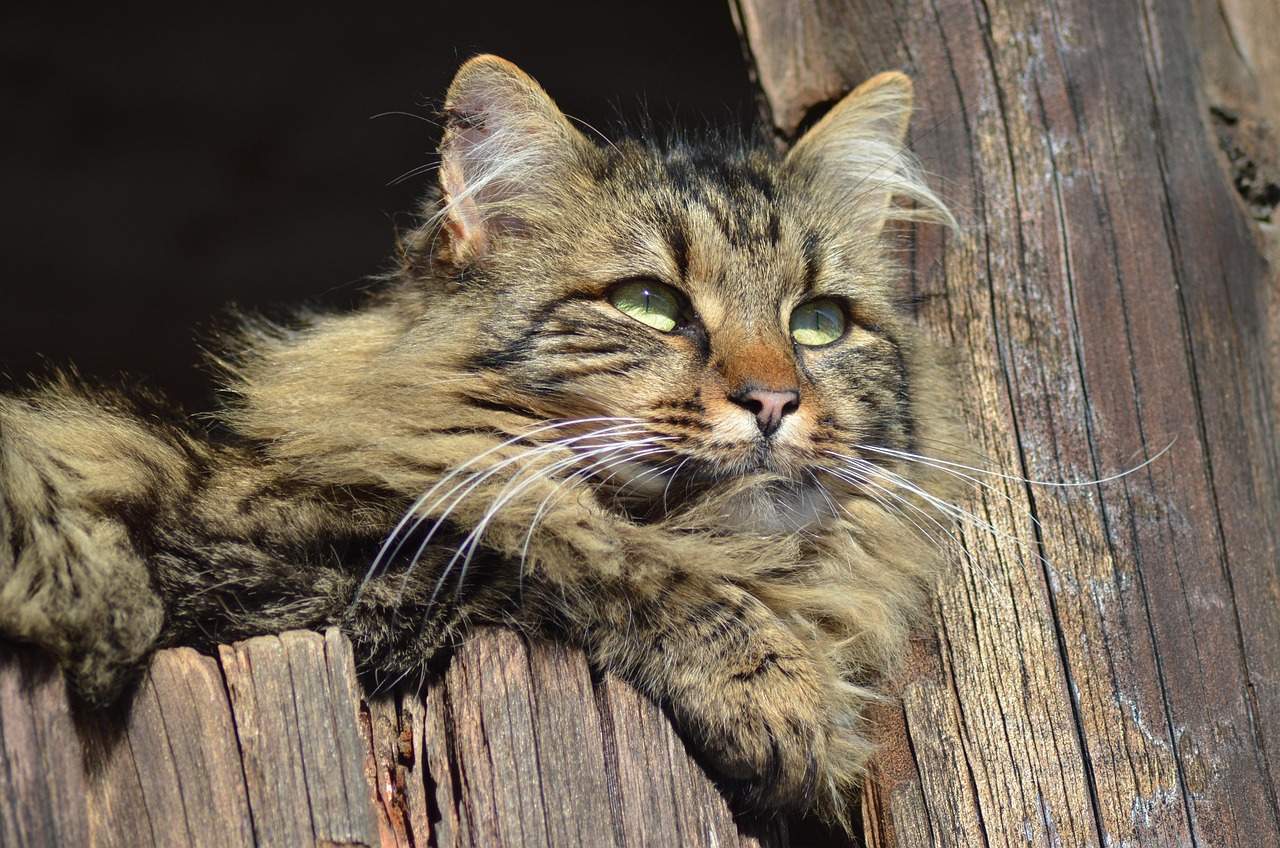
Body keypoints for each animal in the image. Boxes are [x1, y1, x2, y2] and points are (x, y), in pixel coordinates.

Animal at [0, 53, 962, 824]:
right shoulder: (292, 570)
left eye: (819, 324)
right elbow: (581, 561)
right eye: (649, 304)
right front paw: (792, 707)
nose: (772, 400)